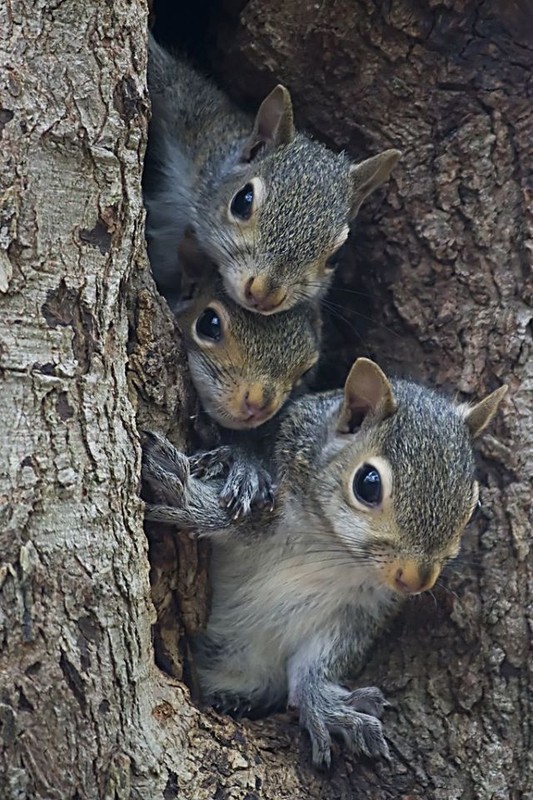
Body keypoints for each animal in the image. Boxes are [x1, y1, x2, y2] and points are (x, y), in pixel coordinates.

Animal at [141, 358, 508, 768]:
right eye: (368, 483)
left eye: (473, 505)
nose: (415, 580)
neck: (332, 547)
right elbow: (238, 513)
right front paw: (186, 492)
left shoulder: (360, 610)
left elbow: (319, 663)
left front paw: (324, 706)